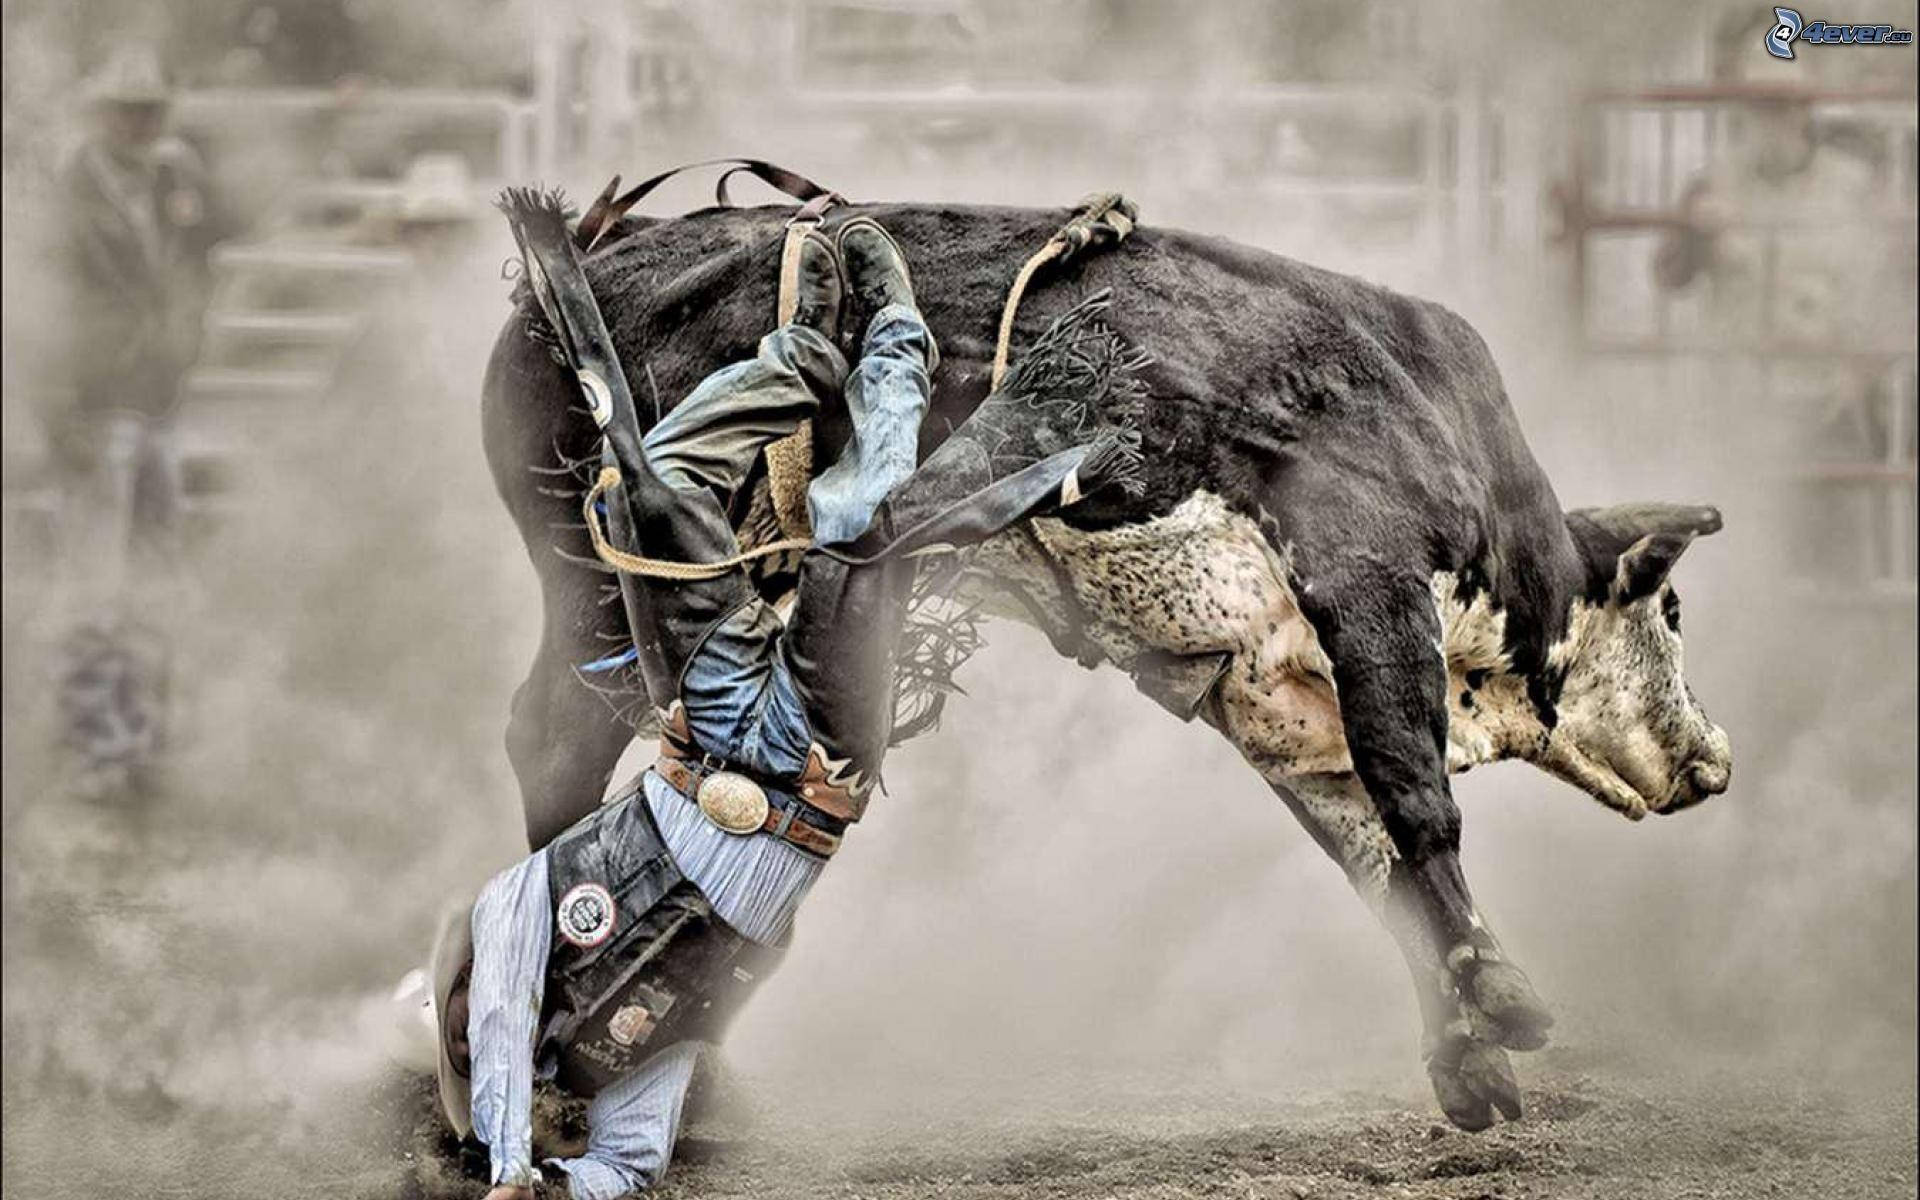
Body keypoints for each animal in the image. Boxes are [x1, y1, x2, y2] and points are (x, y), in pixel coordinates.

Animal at [479, 201, 1733, 1132]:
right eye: (1673, 607)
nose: (1713, 762)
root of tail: (591, 253)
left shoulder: (1281, 709)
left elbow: (1375, 861)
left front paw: (1469, 1062)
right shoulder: (1364, 569)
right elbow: (1419, 801)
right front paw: (1507, 1003)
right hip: (602, 579)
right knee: (557, 737)